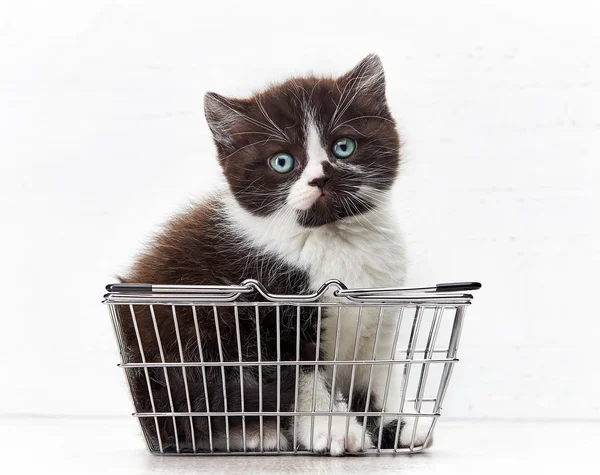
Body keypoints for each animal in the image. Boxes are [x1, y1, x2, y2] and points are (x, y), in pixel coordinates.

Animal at [117, 54, 428, 456]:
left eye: (343, 147)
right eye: (282, 162)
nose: (321, 178)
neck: (332, 237)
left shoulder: (380, 312)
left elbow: (379, 377)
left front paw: (396, 427)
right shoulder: (271, 314)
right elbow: (299, 378)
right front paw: (333, 429)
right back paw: (251, 433)